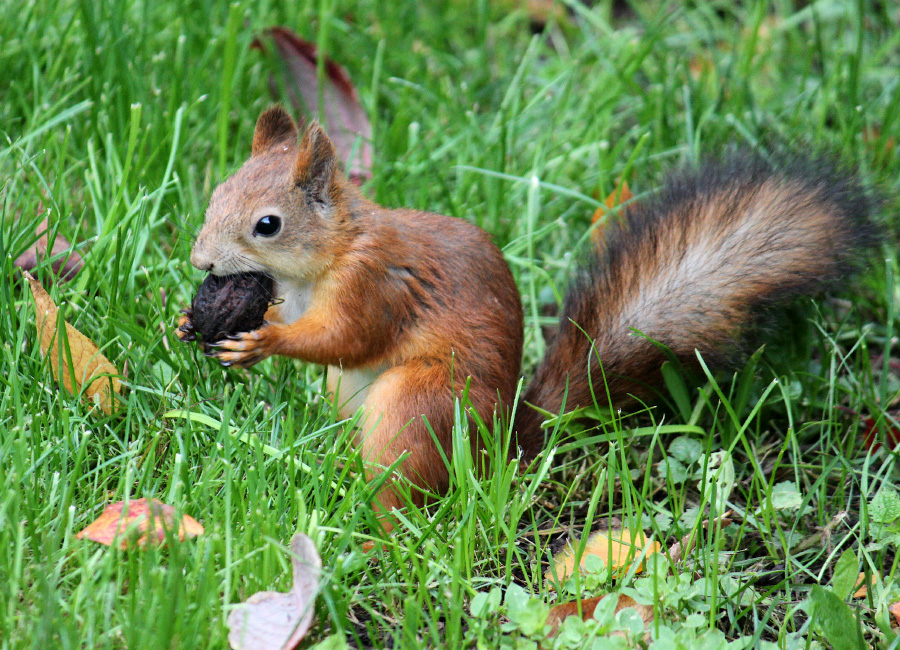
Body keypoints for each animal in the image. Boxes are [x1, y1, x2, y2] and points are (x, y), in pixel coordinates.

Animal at [176, 105, 872, 516]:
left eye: (268, 224)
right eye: (217, 193)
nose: (199, 260)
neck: (324, 259)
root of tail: (502, 450)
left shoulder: (374, 286)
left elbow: (344, 338)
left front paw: (263, 342)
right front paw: (192, 321)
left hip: (419, 404)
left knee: (406, 484)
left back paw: (372, 516)